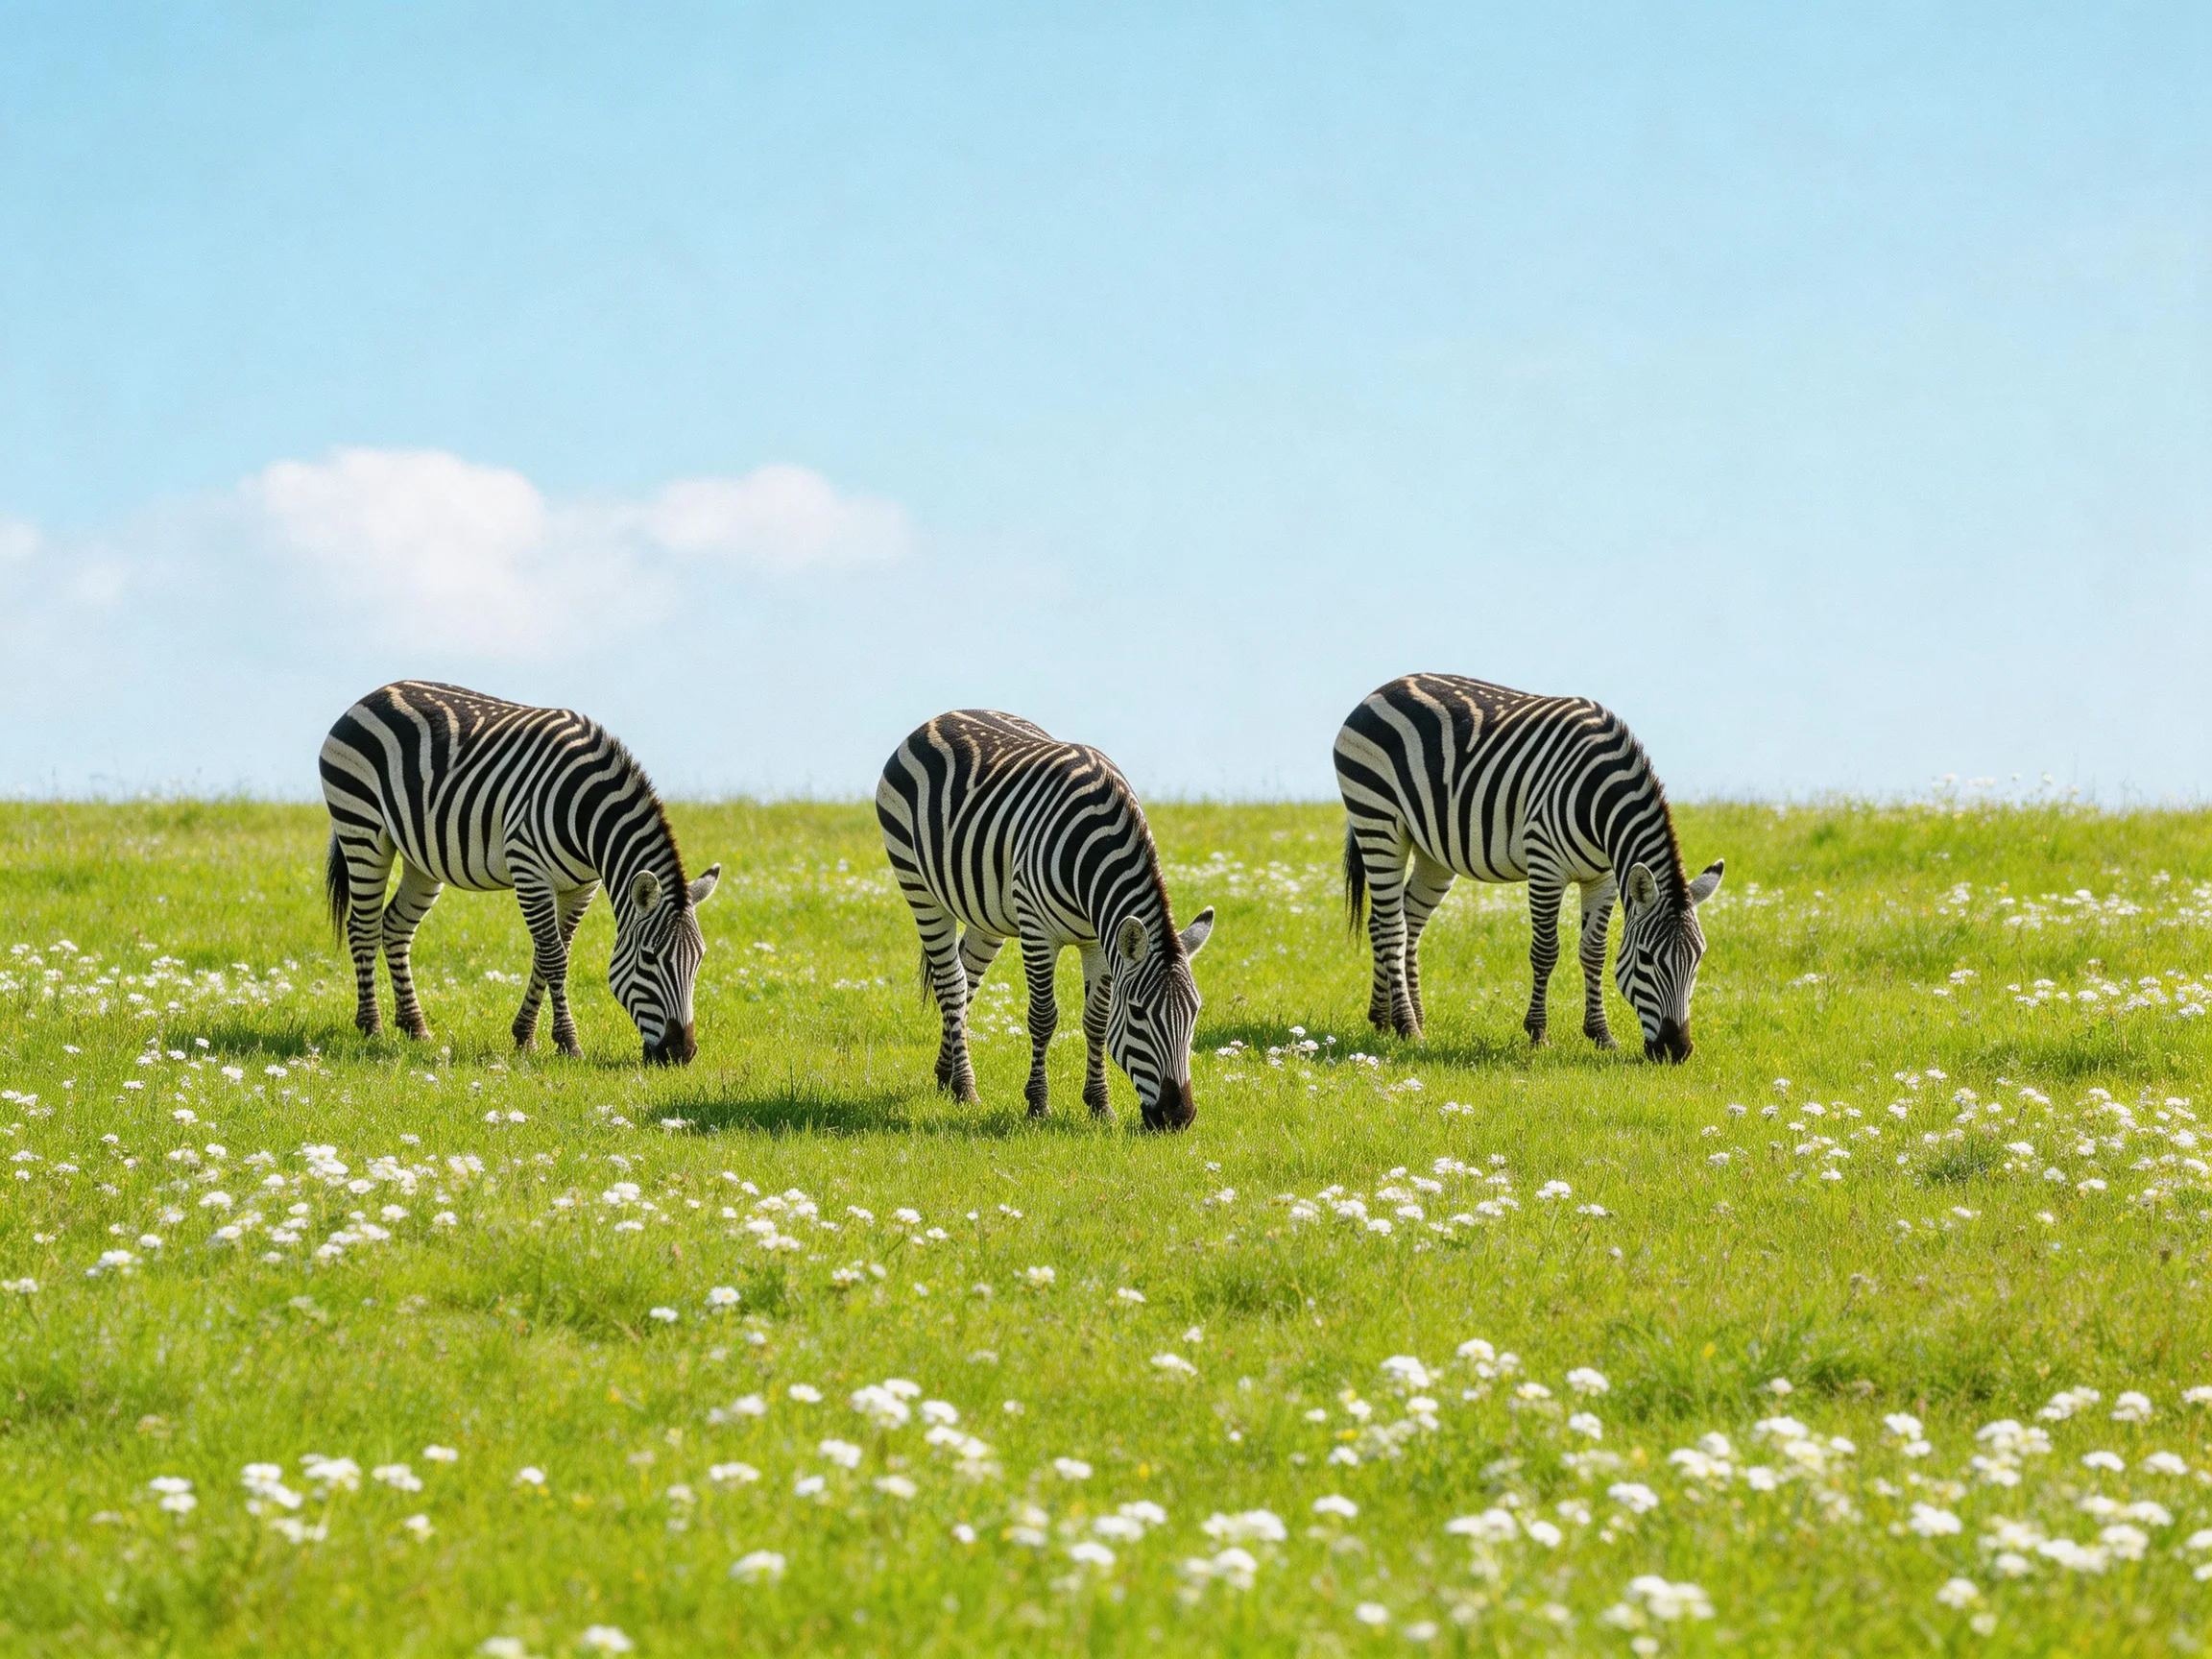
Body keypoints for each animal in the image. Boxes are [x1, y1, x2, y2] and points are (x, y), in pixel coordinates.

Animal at [319, 681, 721, 1065]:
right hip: (362, 828)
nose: (681, 1053)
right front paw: (568, 1043)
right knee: (363, 926)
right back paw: (372, 1026)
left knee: (396, 927)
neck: (587, 818)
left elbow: (549, 954)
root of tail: (372, 696)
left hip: (421, 859)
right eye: (649, 958)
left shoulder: (581, 886)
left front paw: (525, 1035)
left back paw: (414, 1025)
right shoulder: (529, 871)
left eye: (699, 960)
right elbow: (554, 958)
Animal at [876, 710, 1215, 1130]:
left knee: (967, 978)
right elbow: (1043, 1017)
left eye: (1195, 1012)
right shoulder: (1038, 931)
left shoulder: (1099, 939)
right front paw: (1038, 1104)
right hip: (918, 885)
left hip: (985, 912)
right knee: (951, 983)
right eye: (1138, 1013)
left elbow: (1097, 1019)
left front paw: (1100, 1104)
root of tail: (941, 717)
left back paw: (947, 1074)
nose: (1179, 1117)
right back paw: (966, 1088)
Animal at [1335, 673, 1723, 1062]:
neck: (1598, 803)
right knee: (1392, 927)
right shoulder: (1545, 865)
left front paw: (1601, 1034)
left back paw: (1390, 1018)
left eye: (1699, 958)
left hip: (1432, 849)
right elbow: (1546, 951)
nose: (1677, 1050)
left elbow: (1594, 953)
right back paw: (1407, 1025)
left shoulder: (1603, 878)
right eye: (1646, 958)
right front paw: (1538, 1032)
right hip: (1378, 821)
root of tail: (1385, 688)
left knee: (1402, 922)